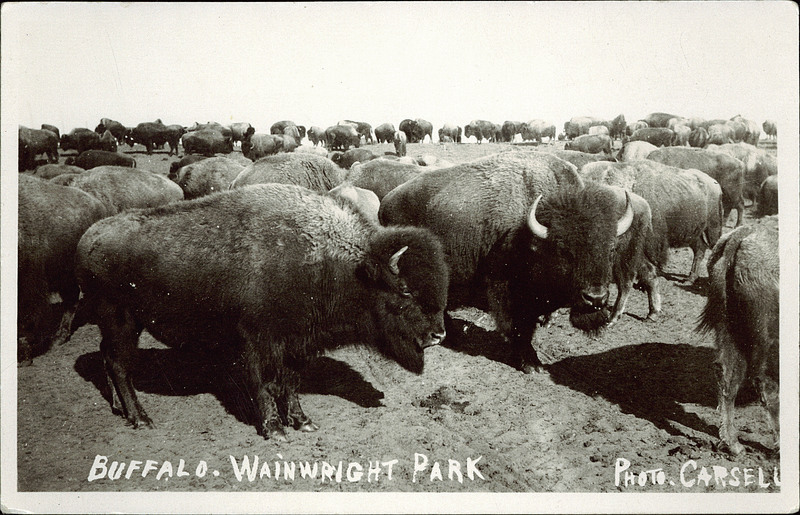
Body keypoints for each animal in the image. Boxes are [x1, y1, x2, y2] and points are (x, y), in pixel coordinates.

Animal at [74, 183, 450, 440]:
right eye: (405, 290)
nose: (439, 334)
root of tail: (88, 238)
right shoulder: (258, 343)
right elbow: (265, 384)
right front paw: (274, 429)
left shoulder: (298, 345)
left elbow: (289, 383)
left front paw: (303, 422)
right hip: (121, 320)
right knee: (120, 365)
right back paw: (141, 418)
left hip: (123, 324)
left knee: (108, 359)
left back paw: (120, 409)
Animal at [380, 152, 649, 373]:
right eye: (563, 251)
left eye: (611, 248)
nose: (595, 298)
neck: (531, 237)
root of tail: (385, 203)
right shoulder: (508, 293)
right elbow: (519, 328)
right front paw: (530, 363)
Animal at [696, 223, 779, 455]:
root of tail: (741, 236)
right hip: (767, 339)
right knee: (767, 384)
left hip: (729, 329)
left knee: (727, 376)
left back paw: (732, 443)